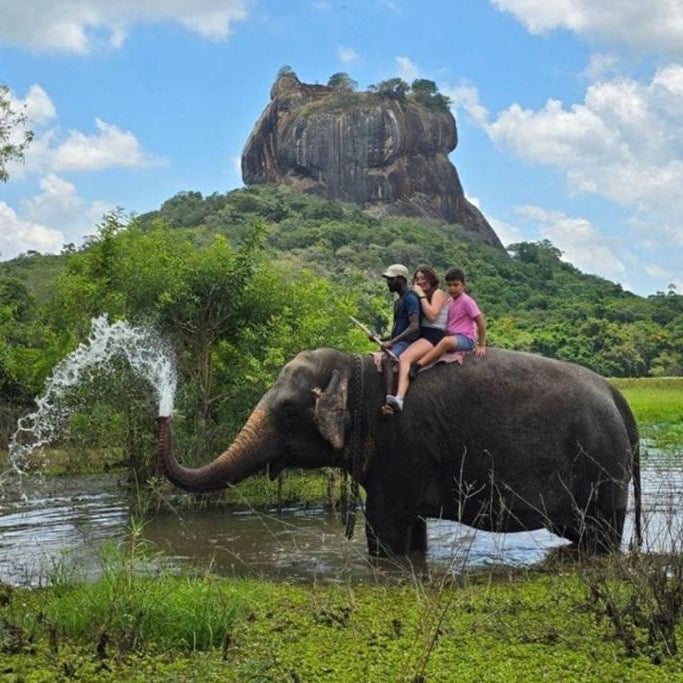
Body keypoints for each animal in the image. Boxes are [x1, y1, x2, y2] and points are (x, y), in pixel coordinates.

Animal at [157, 347, 642, 557]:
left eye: (288, 409)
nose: (162, 412)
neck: (355, 366)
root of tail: (618, 396)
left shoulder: (402, 446)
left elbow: (384, 527)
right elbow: (410, 531)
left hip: (603, 467)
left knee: (600, 535)